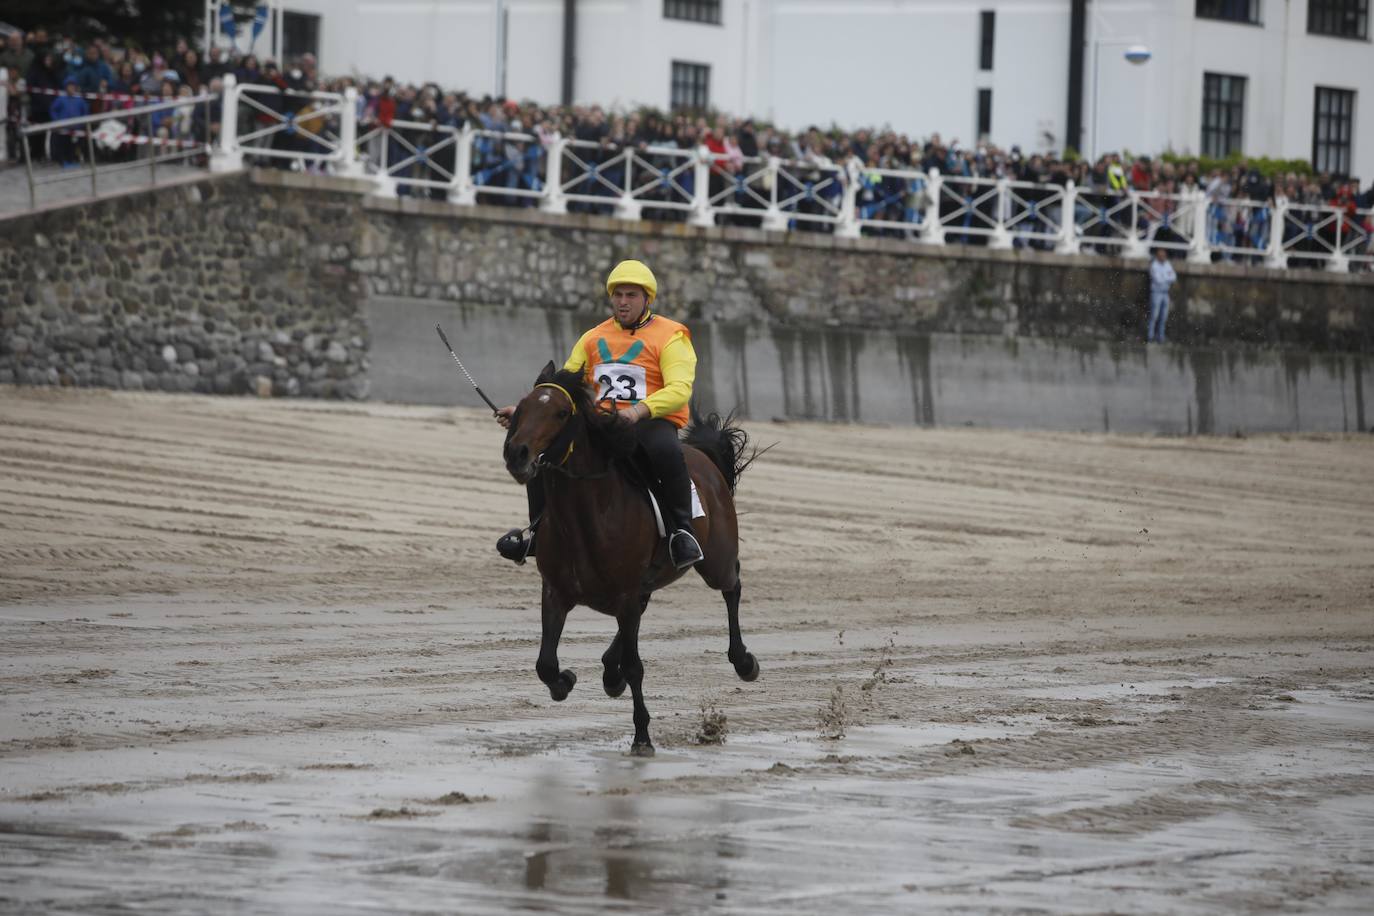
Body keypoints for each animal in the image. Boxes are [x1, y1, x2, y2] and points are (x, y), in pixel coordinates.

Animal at [505, 362, 763, 758]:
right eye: (522, 407)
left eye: (561, 413)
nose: (517, 453)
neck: (587, 517)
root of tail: (703, 456)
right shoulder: (555, 592)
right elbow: (545, 663)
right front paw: (565, 681)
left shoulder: (624, 595)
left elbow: (636, 666)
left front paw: (642, 736)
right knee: (643, 609)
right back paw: (610, 673)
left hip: (715, 562)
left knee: (731, 586)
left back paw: (744, 661)